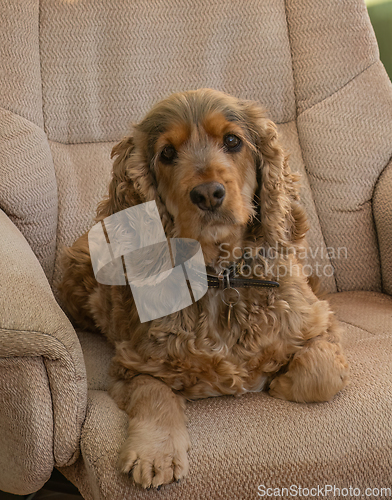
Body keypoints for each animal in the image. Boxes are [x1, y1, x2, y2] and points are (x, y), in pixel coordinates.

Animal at [59, 89, 350, 488]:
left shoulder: (320, 321)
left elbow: (321, 372)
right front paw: (155, 452)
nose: (209, 194)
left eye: (233, 141)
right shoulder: (133, 362)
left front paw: (282, 383)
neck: (221, 278)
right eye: (167, 153)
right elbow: (154, 393)